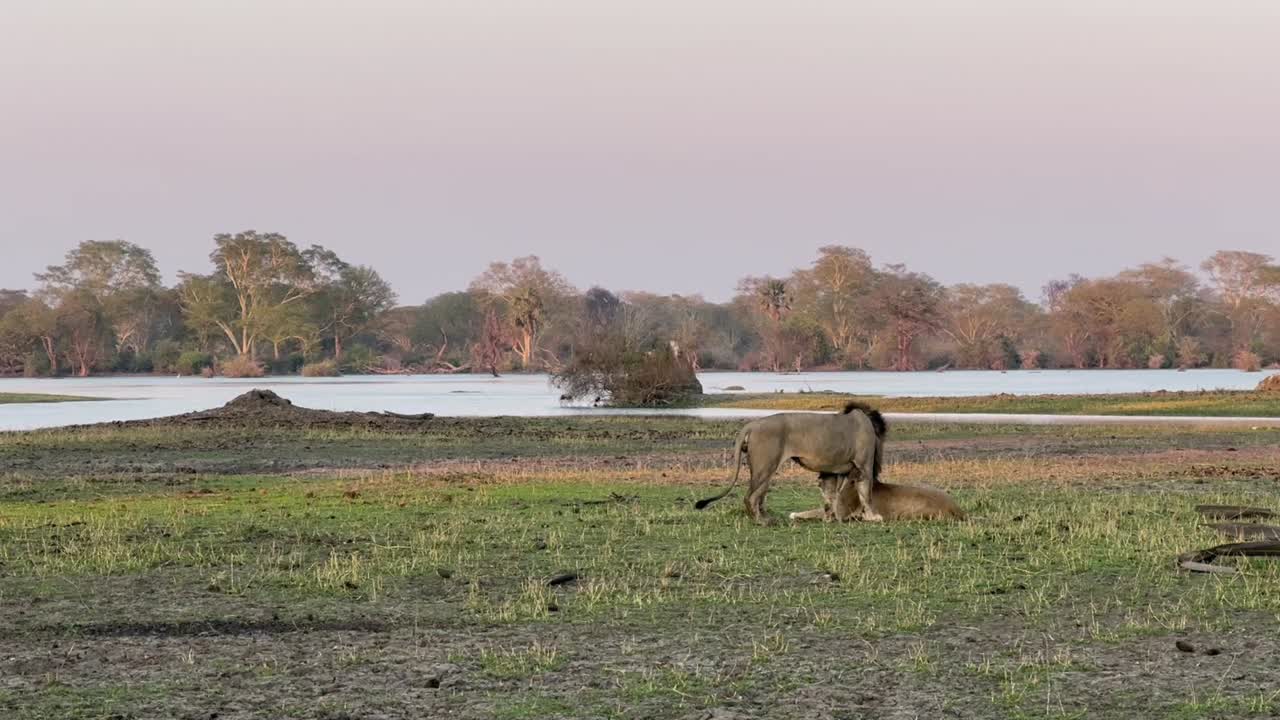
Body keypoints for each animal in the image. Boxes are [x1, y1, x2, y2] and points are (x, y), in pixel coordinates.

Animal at [694, 402, 887, 525]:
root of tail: (751, 425)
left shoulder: (831, 472)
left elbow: (831, 496)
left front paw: (831, 518)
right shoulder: (864, 468)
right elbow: (866, 495)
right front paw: (873, 517)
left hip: (763, 470)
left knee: (758, 497)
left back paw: (766, 519)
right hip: (766, 467)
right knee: (750, 497)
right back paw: (761, 522)